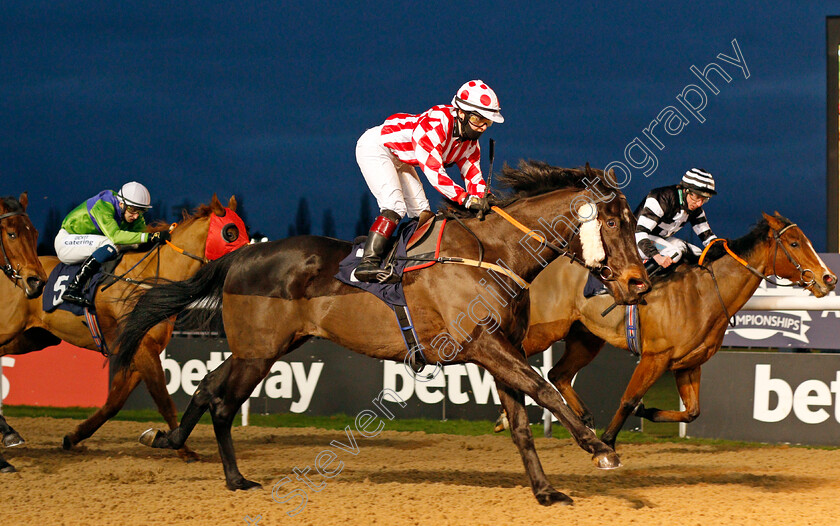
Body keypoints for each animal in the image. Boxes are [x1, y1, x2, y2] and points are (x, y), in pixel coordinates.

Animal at [0, 195, 248, 474]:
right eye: (230, 232)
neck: (148, 280)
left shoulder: (140, 349)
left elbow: (114, 402)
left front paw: (73, 436)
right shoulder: (142, 347)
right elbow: (164, 400)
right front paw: (182, 448)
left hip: (32, 338)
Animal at [111, 162, 648, 508]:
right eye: (612, 220)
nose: (638, 283)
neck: (492, 253)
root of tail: (240, 255)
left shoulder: (501, 349)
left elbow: (521, 422)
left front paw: (545, 491)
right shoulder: (484, 344)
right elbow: (545, 388)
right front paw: (599, 447)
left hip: (262, 348)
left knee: (206, 386)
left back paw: (175, 442)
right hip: (258, 351)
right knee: (222, 403)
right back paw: (231, 476)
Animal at [520, 212, 836, 452]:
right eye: (794, 243)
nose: (828, 278)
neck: (705, 293)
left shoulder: (688, 363)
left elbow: (692, 412)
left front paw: (646, 412)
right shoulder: (655, 357)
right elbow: (628, 400)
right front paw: (608, 442)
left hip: (585, 339)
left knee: (557, 374)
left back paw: (584, 417)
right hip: (544, 332)